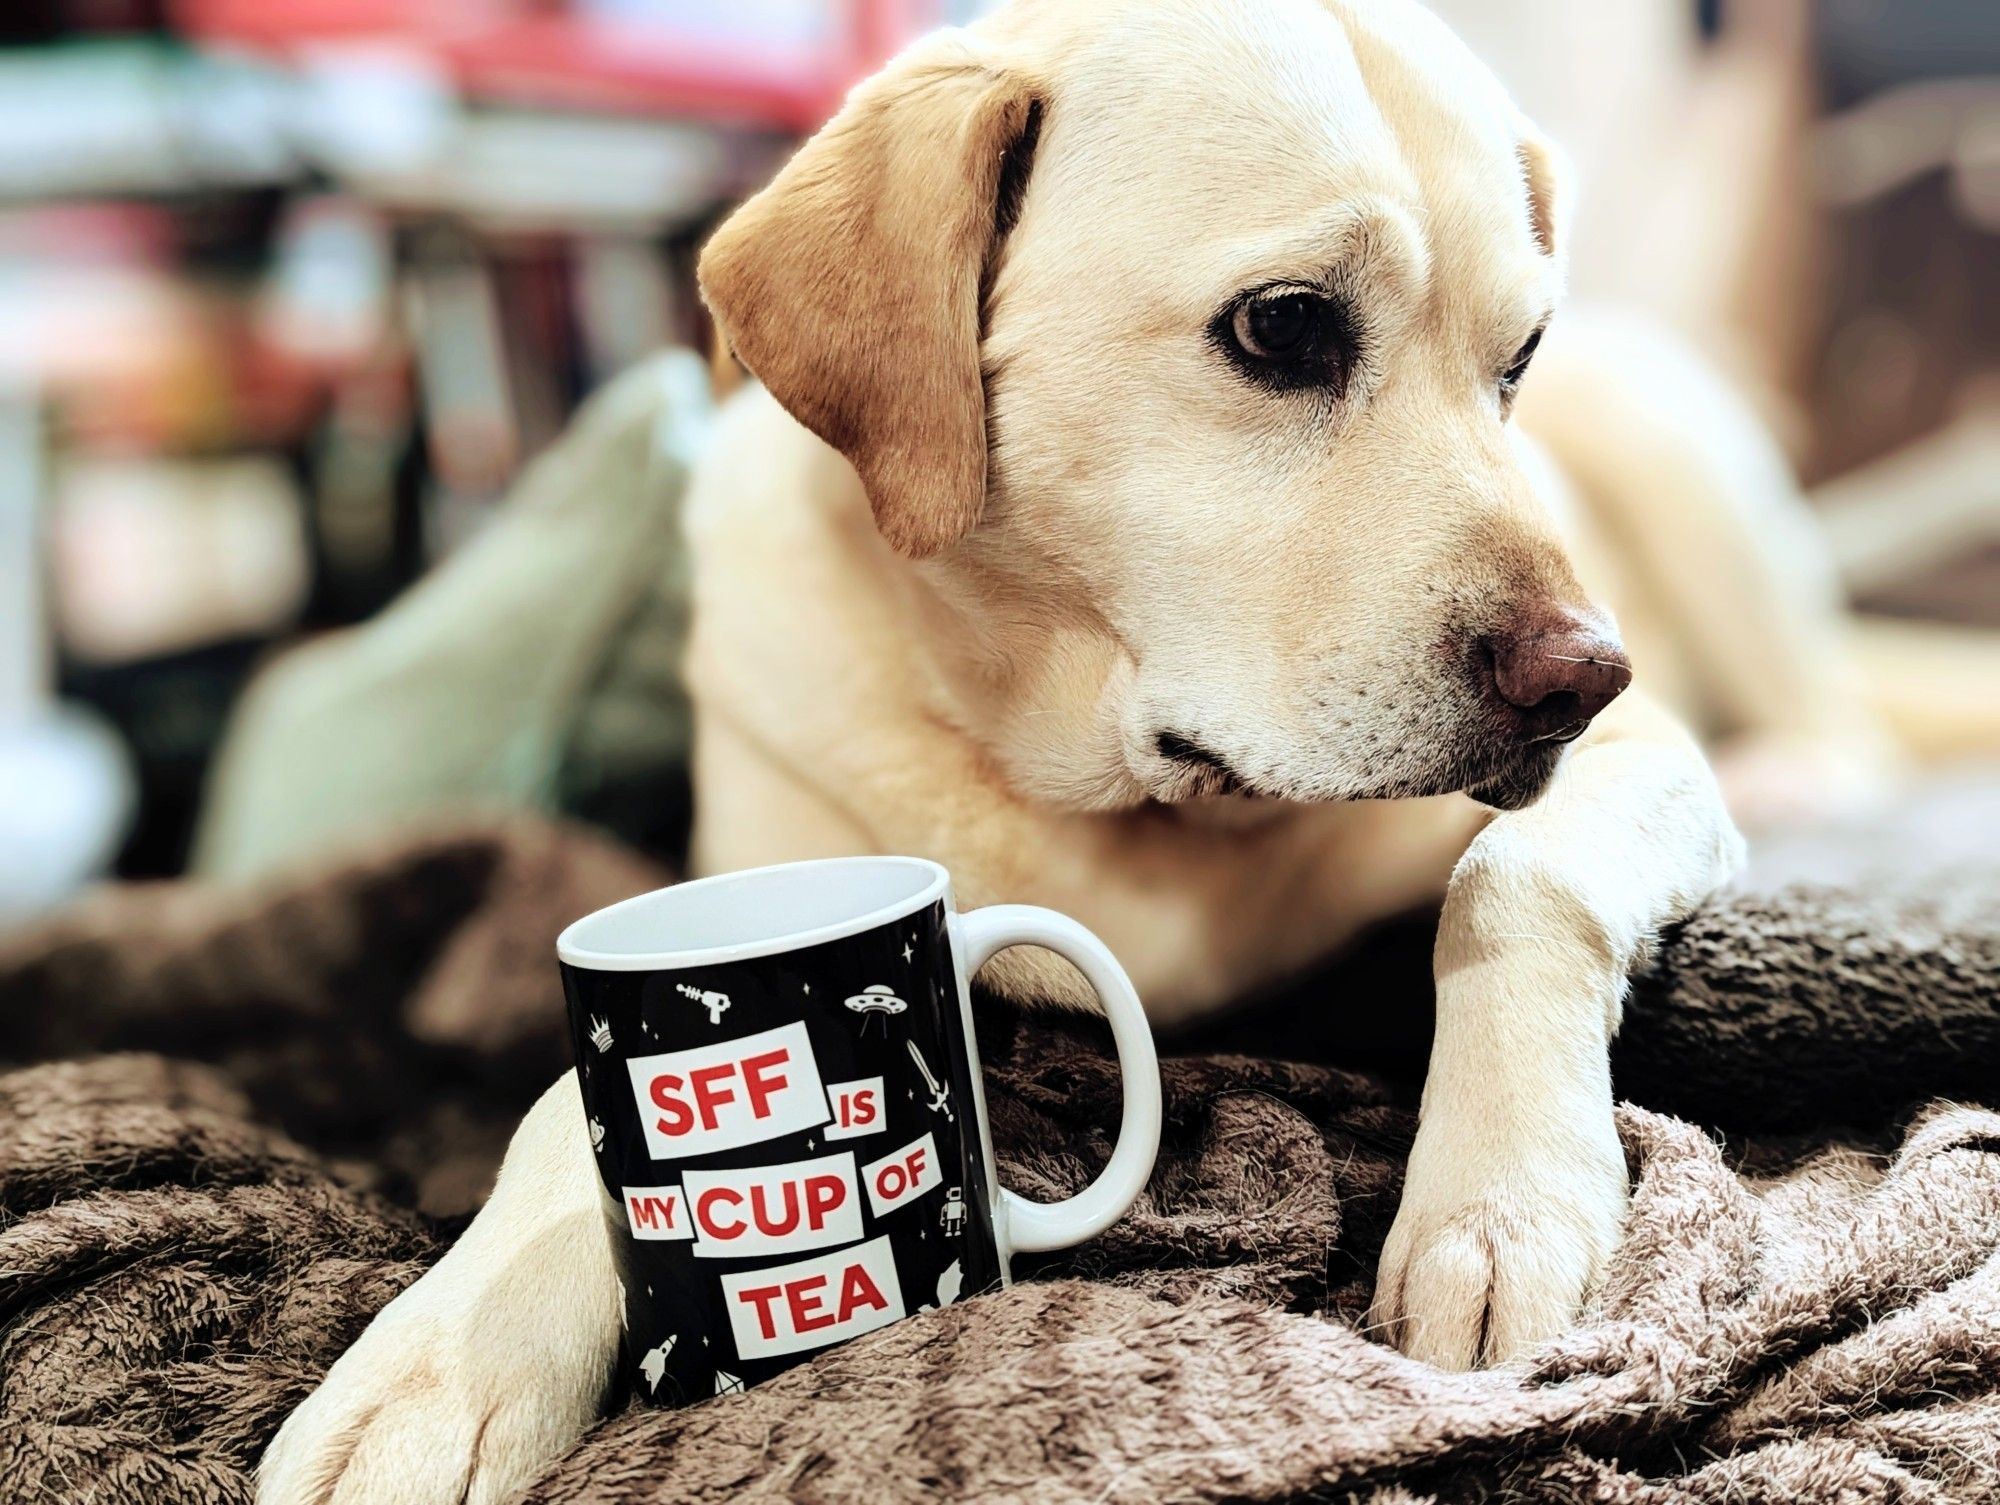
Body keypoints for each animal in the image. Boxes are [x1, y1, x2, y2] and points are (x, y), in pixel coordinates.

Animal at [262, 0, 1768, 1496]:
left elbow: (1512, 876)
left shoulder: (1643, 760)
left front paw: (1502, 1204)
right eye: (1284, 325)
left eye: (1517, 359)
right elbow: (565, 1099)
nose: (1584, 678)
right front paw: (441, 1359)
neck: (1113, 791)